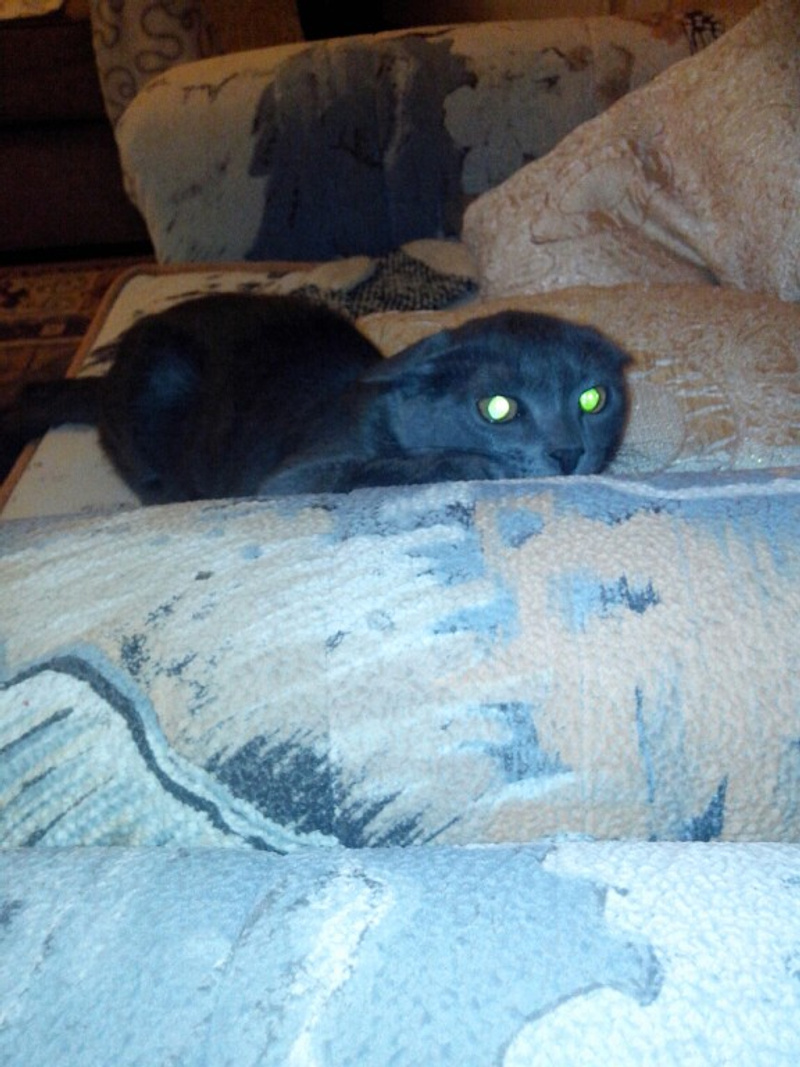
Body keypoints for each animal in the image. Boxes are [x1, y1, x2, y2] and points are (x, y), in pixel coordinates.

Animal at [0, 292, 630, 501]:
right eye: (497, 408)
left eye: (592, 400)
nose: (568, 452)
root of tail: (105, 377)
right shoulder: (290, 479)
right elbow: (379, 469)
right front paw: (476, 465)